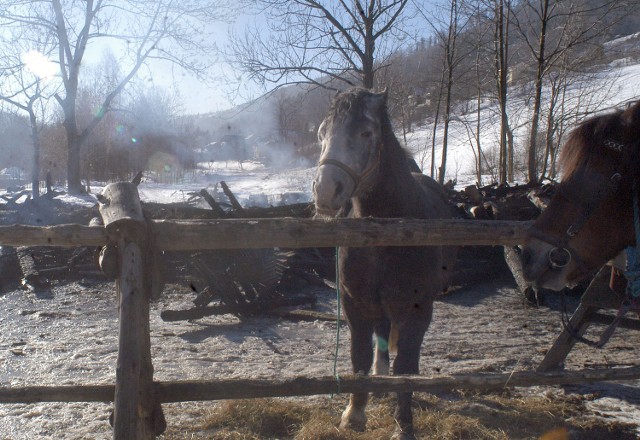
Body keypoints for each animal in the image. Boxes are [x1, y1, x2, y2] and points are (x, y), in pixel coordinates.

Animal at [312, 87, 456, 438]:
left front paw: (403, 425)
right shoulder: (354, 303)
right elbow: (359, 357)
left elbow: (406, 366)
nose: (325, 191)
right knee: (381, 336)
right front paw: (354, 414)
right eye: (322, 134)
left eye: (366, 132)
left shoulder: (417, 310)